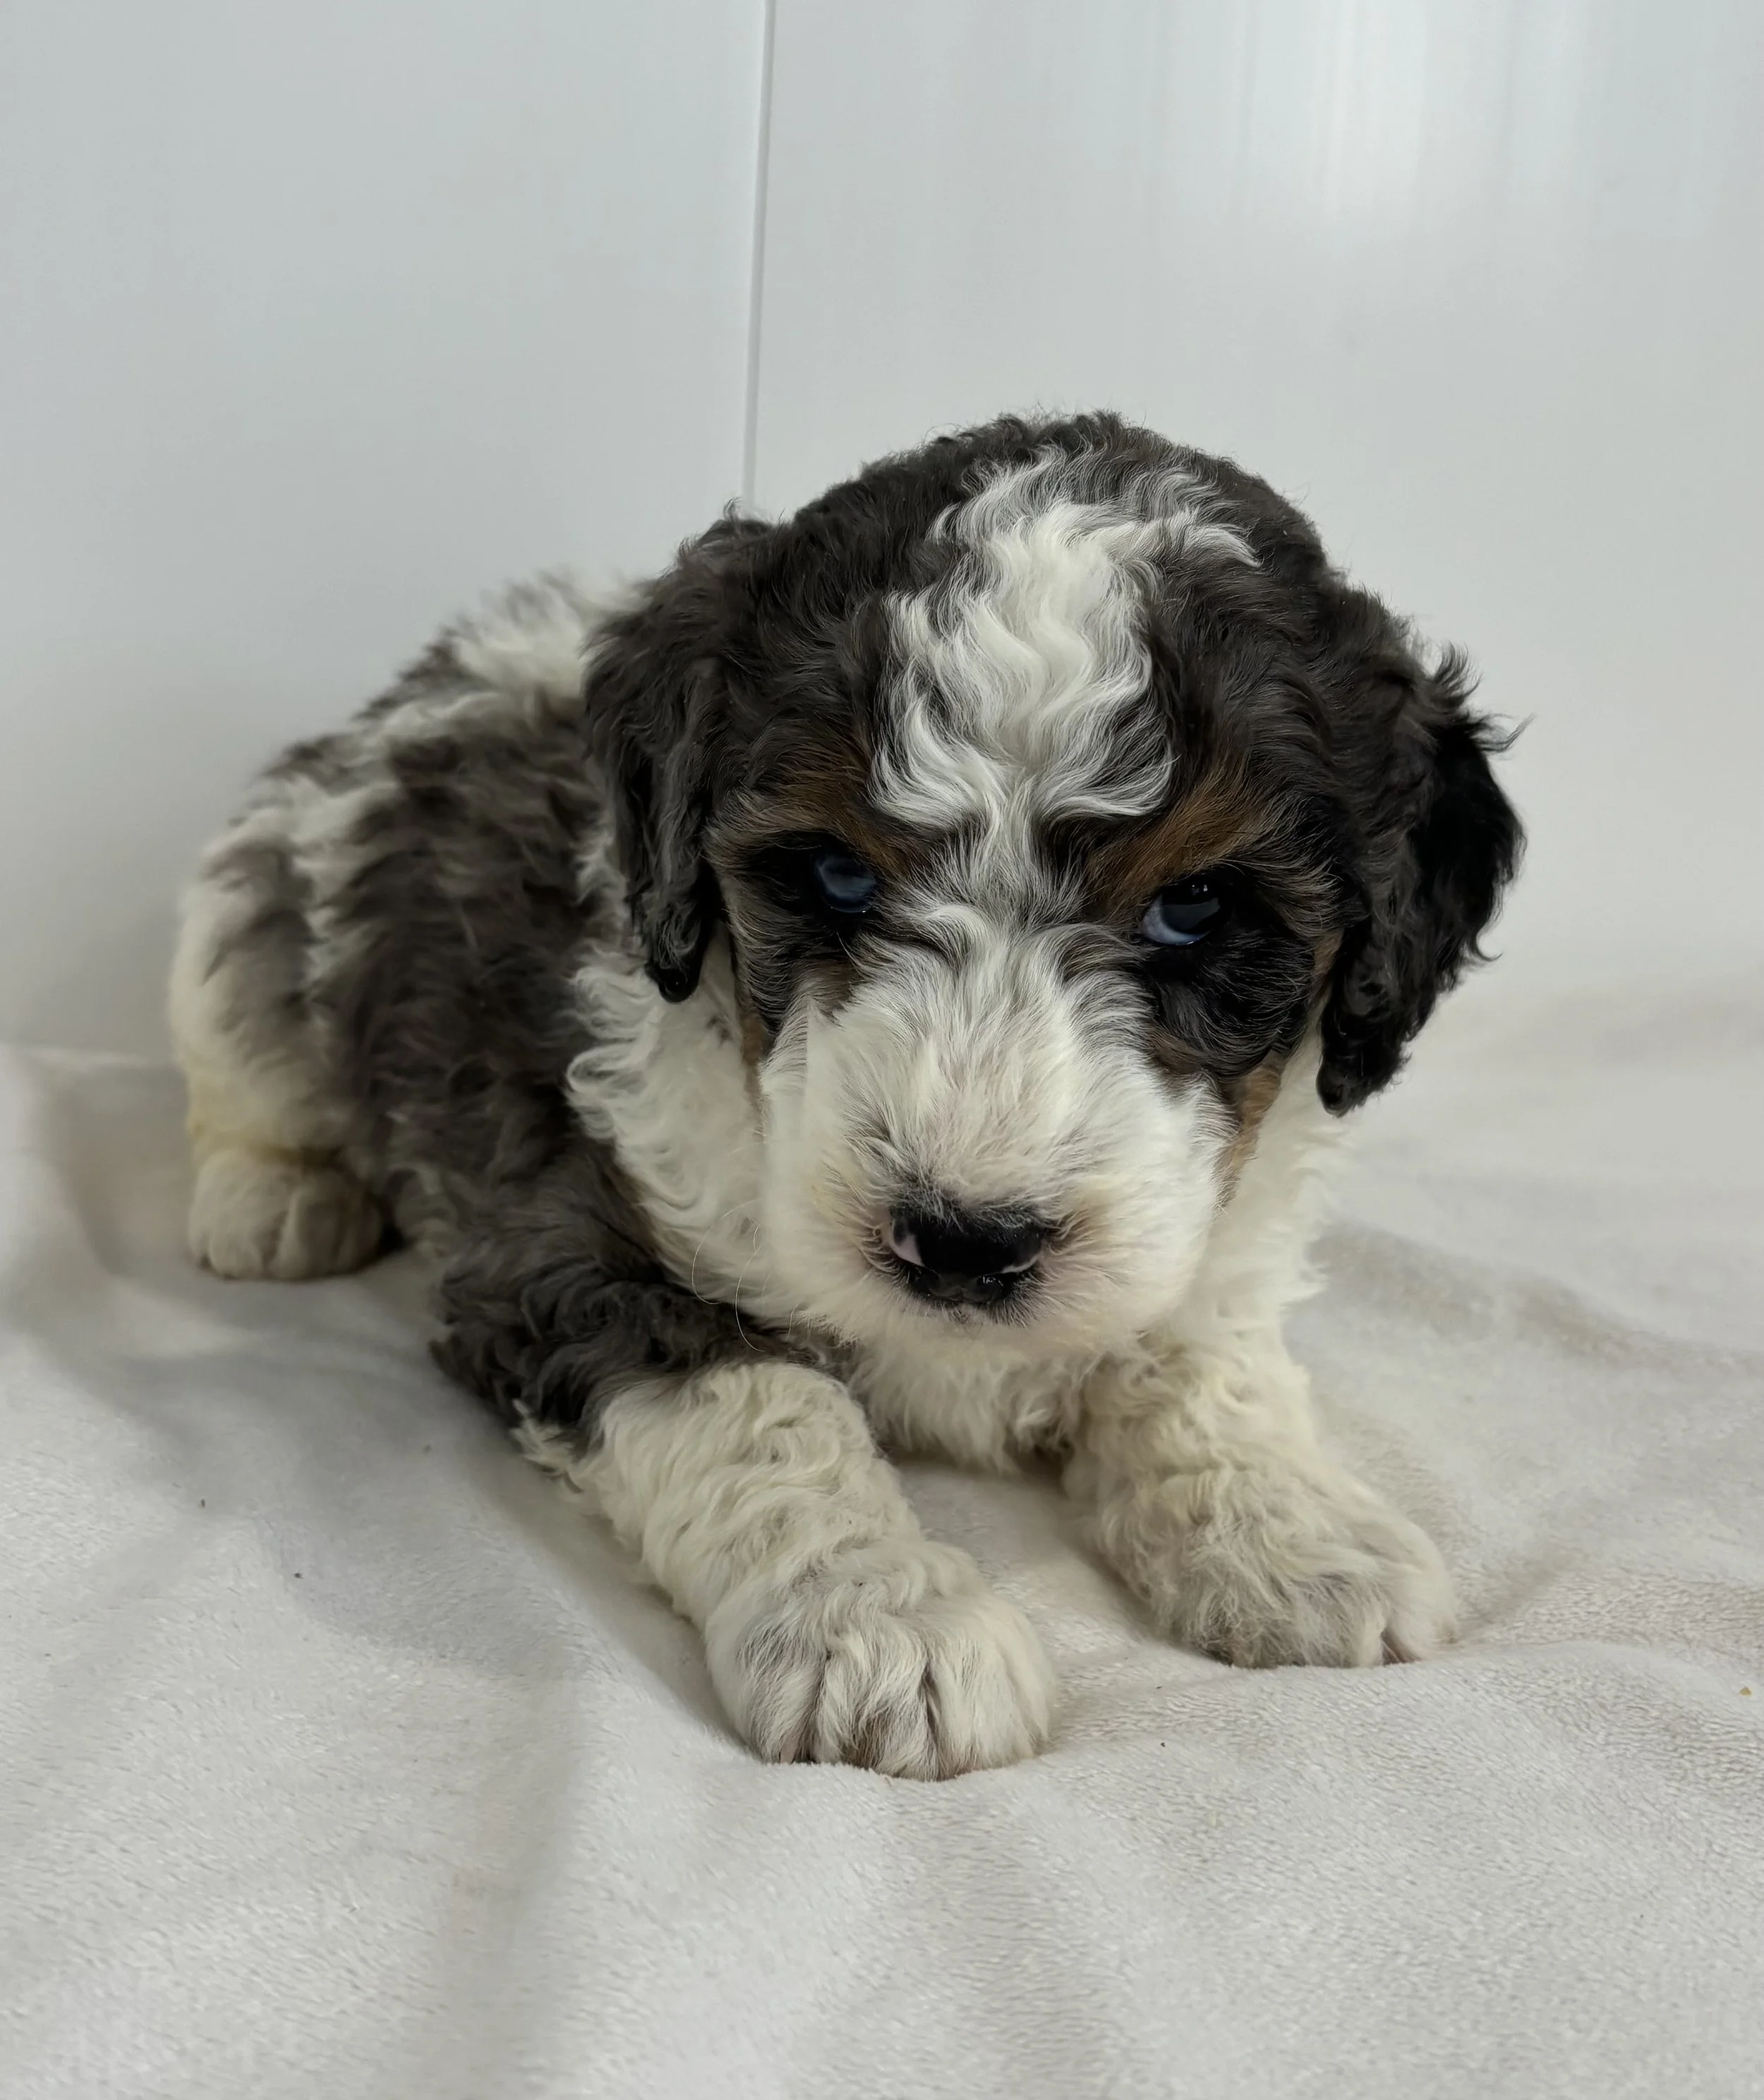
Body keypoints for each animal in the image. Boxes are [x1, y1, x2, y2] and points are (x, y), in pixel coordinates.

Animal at [171, 412, 1521, 1778]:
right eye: (831, 874)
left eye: (1196, 907)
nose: (966, 1243)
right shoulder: (568, 1247)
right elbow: (762, 1409)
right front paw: (881, 1622)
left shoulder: (1201, 1232)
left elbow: (1197, 1367)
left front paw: (1289, 1529)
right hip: (249, 913)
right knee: (248, 1068)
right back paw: (274, 1200)